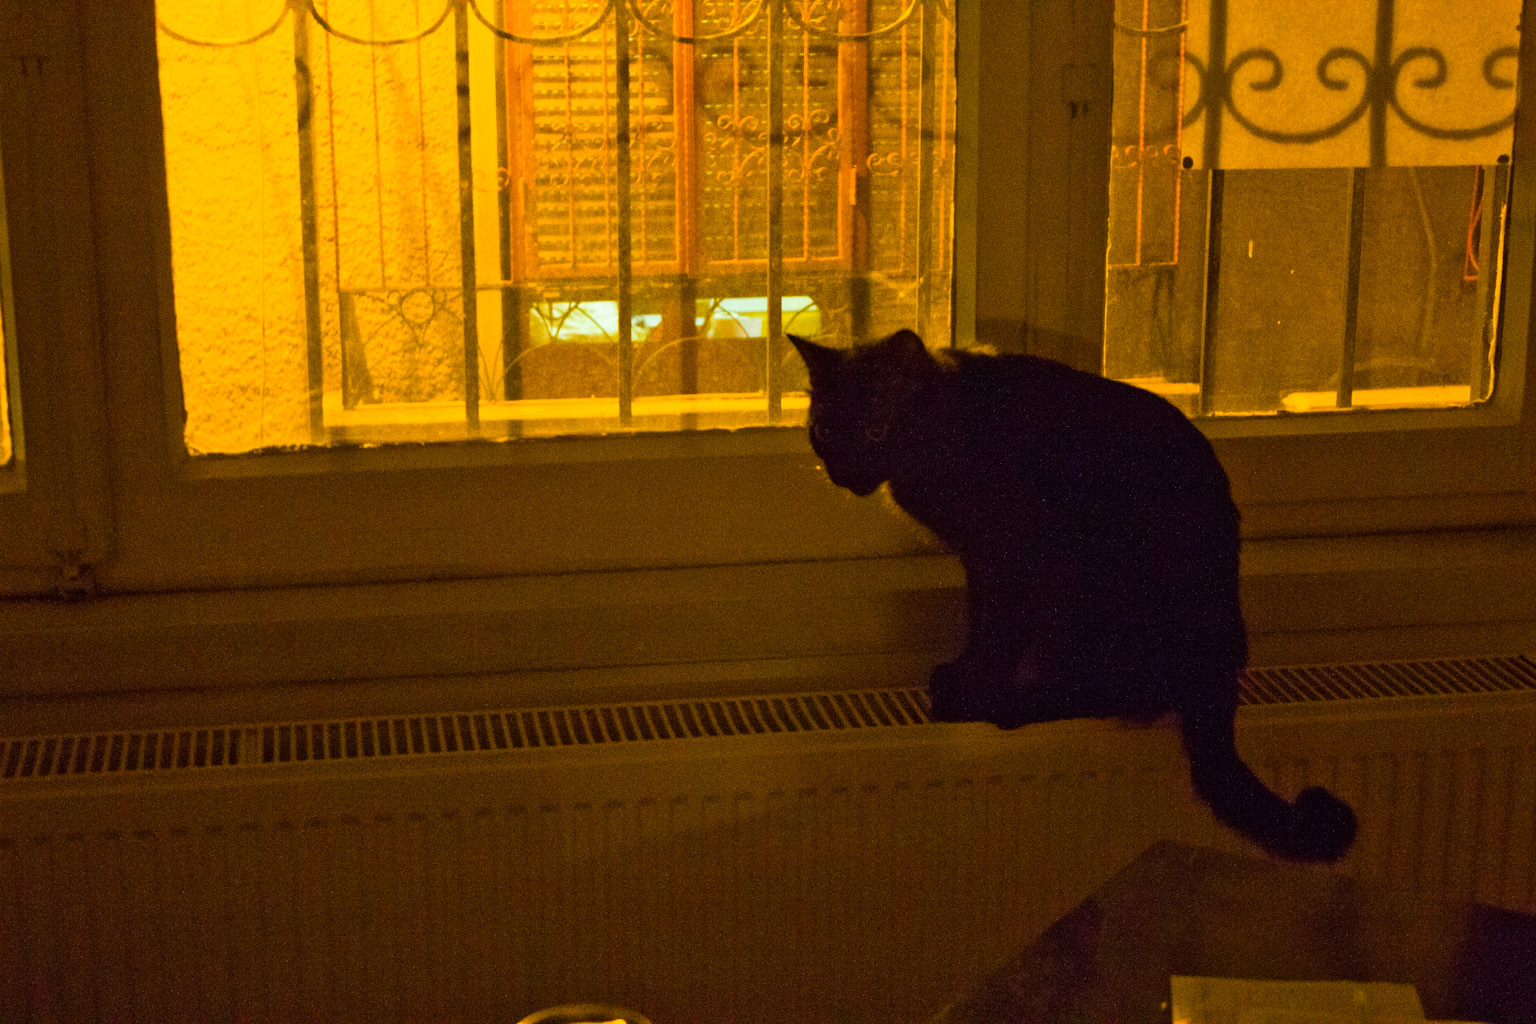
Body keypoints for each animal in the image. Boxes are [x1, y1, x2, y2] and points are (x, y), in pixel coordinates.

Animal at [789, 328, 1358, 863]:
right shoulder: (980, 561)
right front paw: (963, 671)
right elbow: (980, 621)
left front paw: (974, 685)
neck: (947, 428)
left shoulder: (1011, 555)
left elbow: (999, 631)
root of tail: (1220, 665)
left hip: (1084, 595)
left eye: (875, 427)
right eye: (825, 430)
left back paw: (1010, 703)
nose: (844, 472)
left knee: (1116, 693)